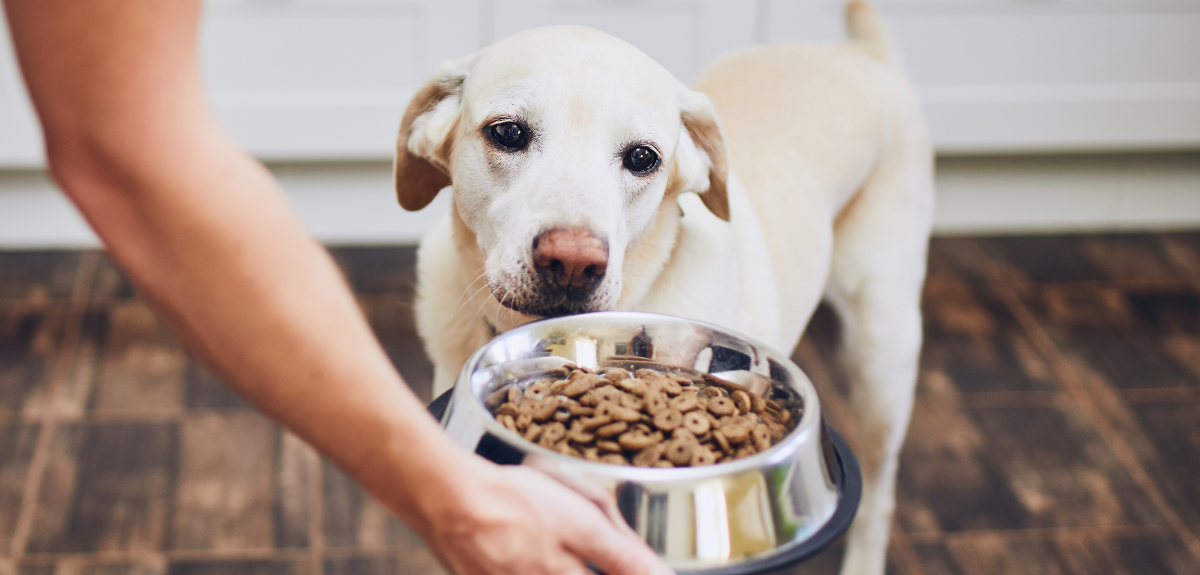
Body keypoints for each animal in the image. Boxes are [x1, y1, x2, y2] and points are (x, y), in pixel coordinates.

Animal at [393, 2, 926, 573]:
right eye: (509, 133)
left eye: (643, 158)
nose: (572, 262)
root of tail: (864, 53)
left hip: (882, 357)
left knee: (880, 495)